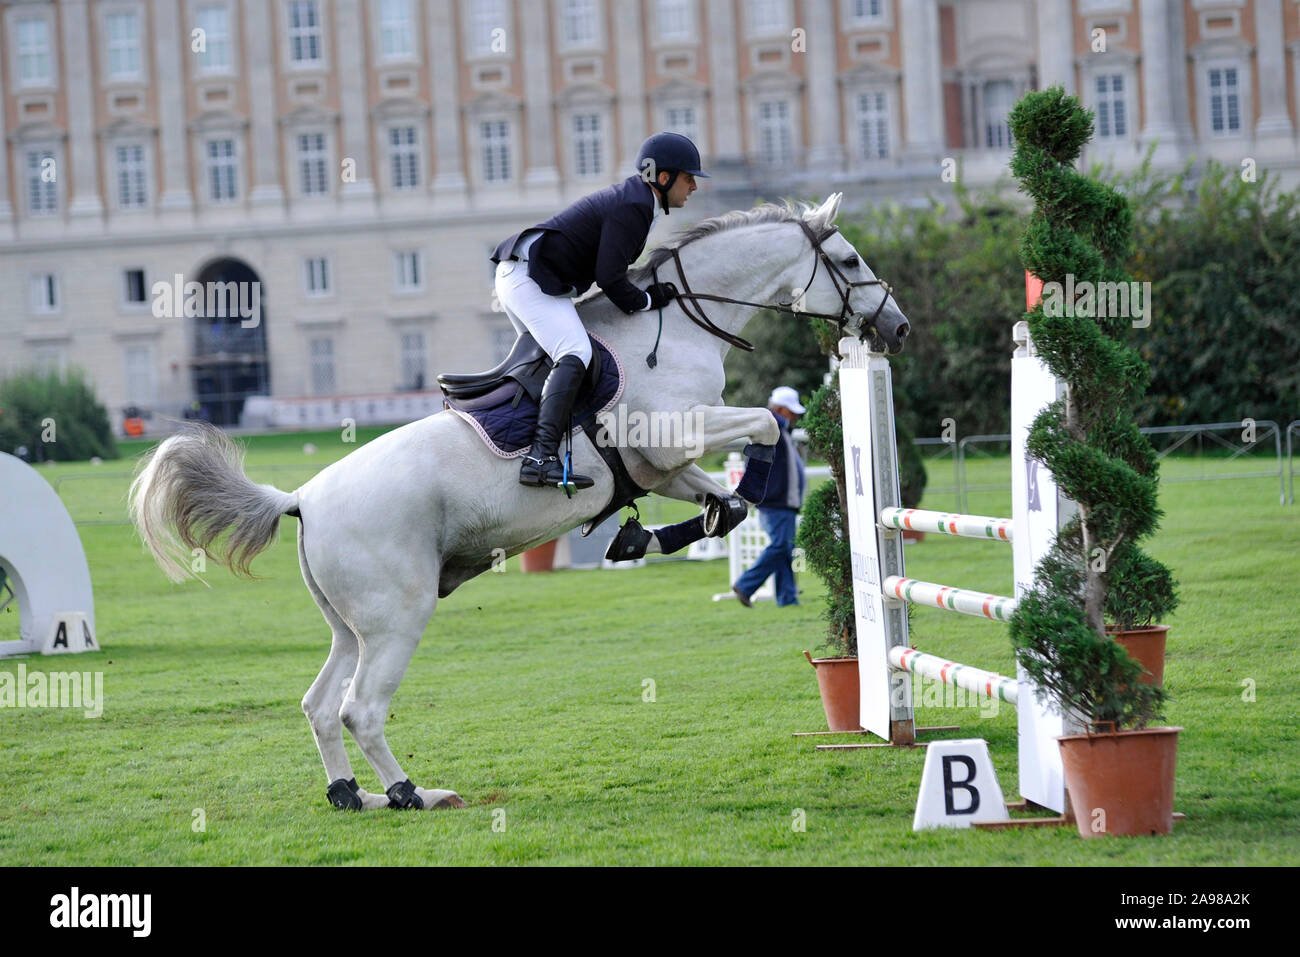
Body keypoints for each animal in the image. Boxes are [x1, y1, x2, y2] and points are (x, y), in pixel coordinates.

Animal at [126, 191, 909, 811]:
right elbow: (767, 427)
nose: (896, 327)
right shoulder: (671, 435)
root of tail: (302, 498)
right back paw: (412, 793)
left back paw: (352, 795)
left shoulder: (659, 466)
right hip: (397, 617)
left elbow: (723, 496)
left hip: (351, 626)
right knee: (361, 710)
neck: (677, 326)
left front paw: (651, 535)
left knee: (320, 706)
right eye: (848, 258)